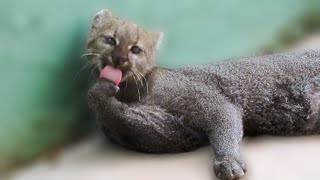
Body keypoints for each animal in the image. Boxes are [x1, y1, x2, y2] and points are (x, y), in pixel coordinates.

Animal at [84, 10, 320, 180]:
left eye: (136, 49)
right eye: (110, 40)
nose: (119, 58)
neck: (134, 93)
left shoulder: (208, 98)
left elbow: (225, 121)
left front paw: (228, 161)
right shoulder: (172, 130)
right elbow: (128, 120)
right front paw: (99, 92)